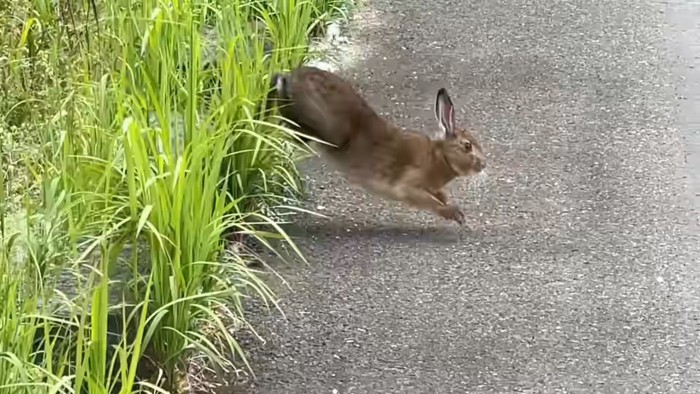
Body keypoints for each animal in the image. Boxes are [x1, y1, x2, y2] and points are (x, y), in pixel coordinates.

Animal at [268, 66, 486, 223]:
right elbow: (431, 201)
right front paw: (454, 215)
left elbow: (442, 195)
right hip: (326, 127)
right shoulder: (408, 186)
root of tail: (290, 79)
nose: (483, 165)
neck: (440, 157)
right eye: (467, 146)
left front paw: (458, 211)